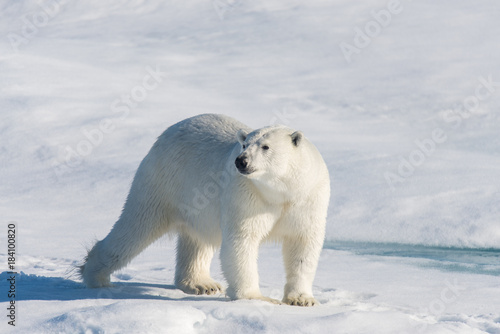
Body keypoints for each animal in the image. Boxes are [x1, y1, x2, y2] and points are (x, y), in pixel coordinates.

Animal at [79, 114, 328, 306]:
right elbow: (241, 241)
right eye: (244, 145)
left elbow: (303, 245)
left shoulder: (308, 199)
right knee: (136, 226)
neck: (281, 192)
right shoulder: (246, 196)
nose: (241, 161)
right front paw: (256, 298)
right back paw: (95, 275)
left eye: (266, 147)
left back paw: (201, 284)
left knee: (198, 239)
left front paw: (302, 300)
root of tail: (170, 129)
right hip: (163, 182)